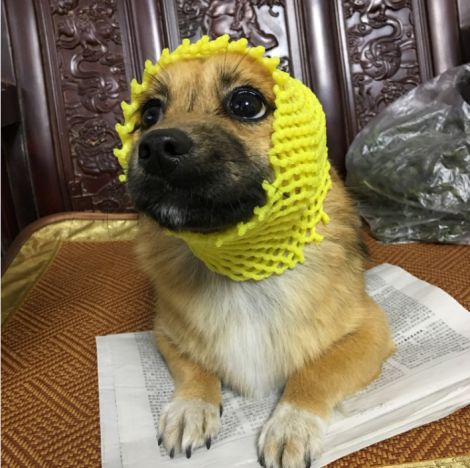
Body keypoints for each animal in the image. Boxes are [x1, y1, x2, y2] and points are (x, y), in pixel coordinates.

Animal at [124, 44, 394, 468]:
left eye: (246, 103)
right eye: (150, 113)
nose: (155, 148)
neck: (242, 266)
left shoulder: (370, 331)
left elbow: (316, 371)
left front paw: (291, 424)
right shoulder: (165, 333)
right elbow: (195, 368)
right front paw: (191, 407)